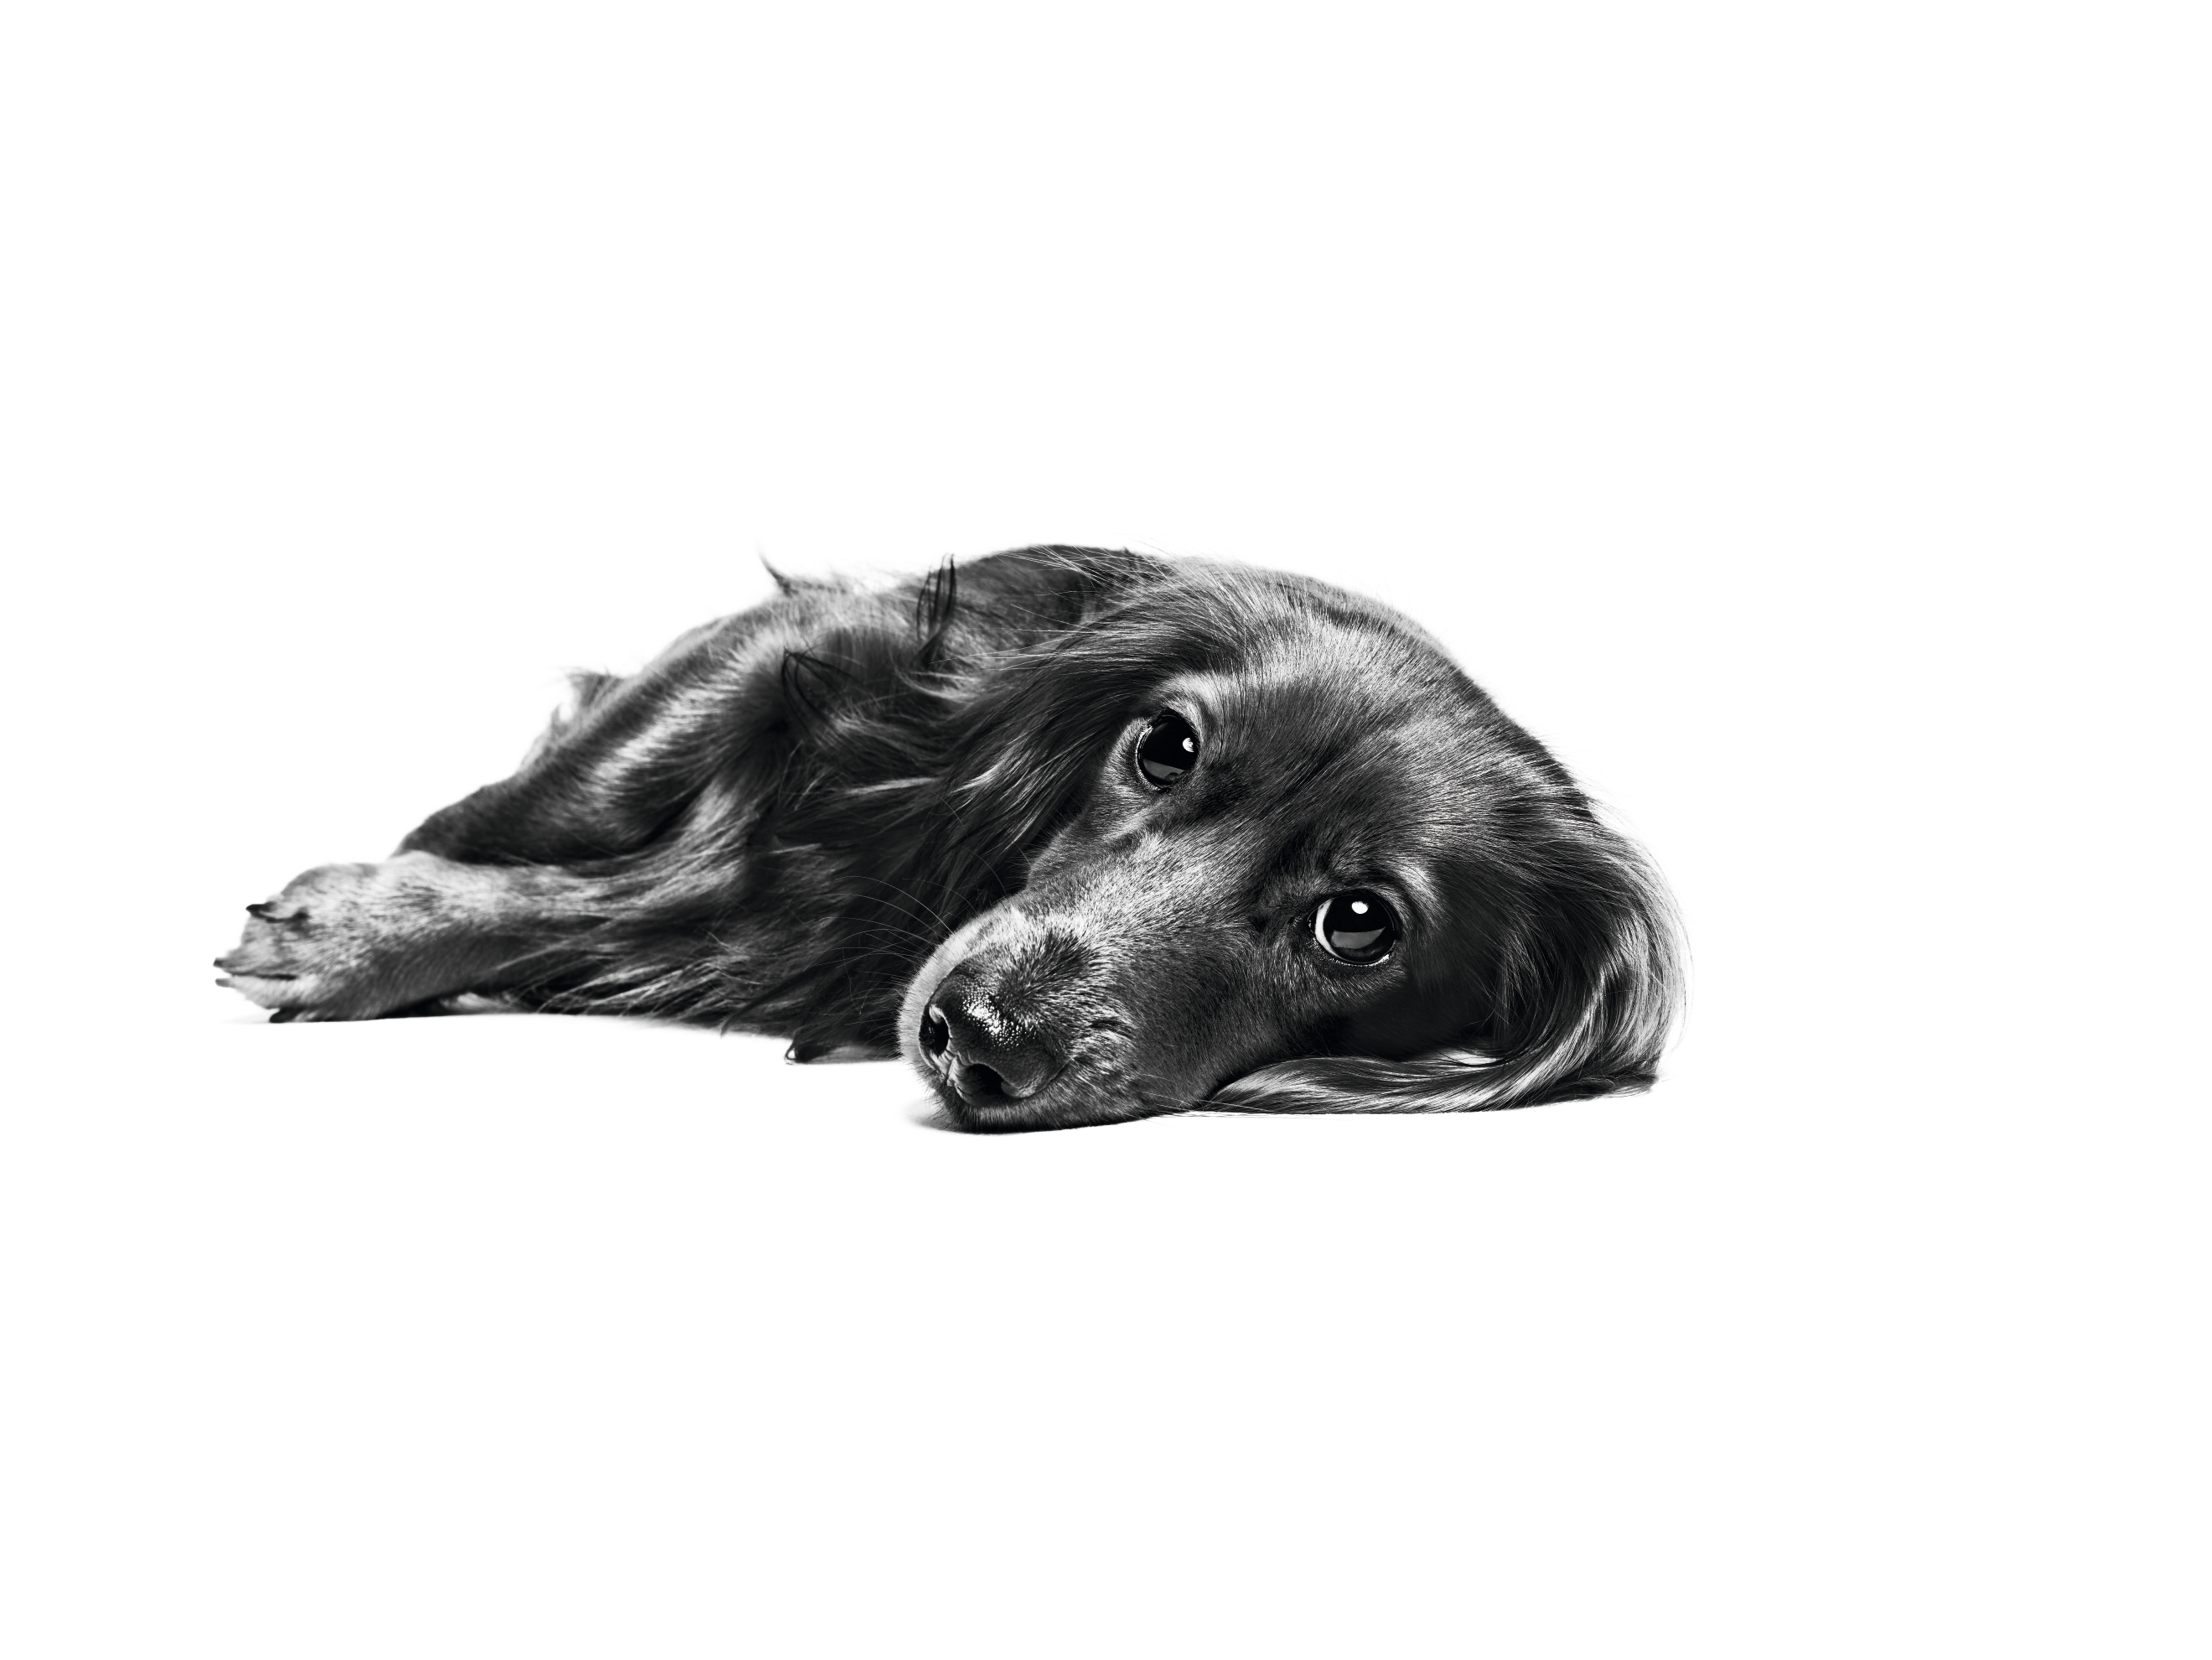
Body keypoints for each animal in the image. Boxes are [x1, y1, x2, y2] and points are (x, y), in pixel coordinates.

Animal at [220, 547, 1672, 1133]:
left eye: (1358, 921)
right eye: (1163, 747)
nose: (973, 1034)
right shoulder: (816, 641)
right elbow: (555, 812)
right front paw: (374, 915)